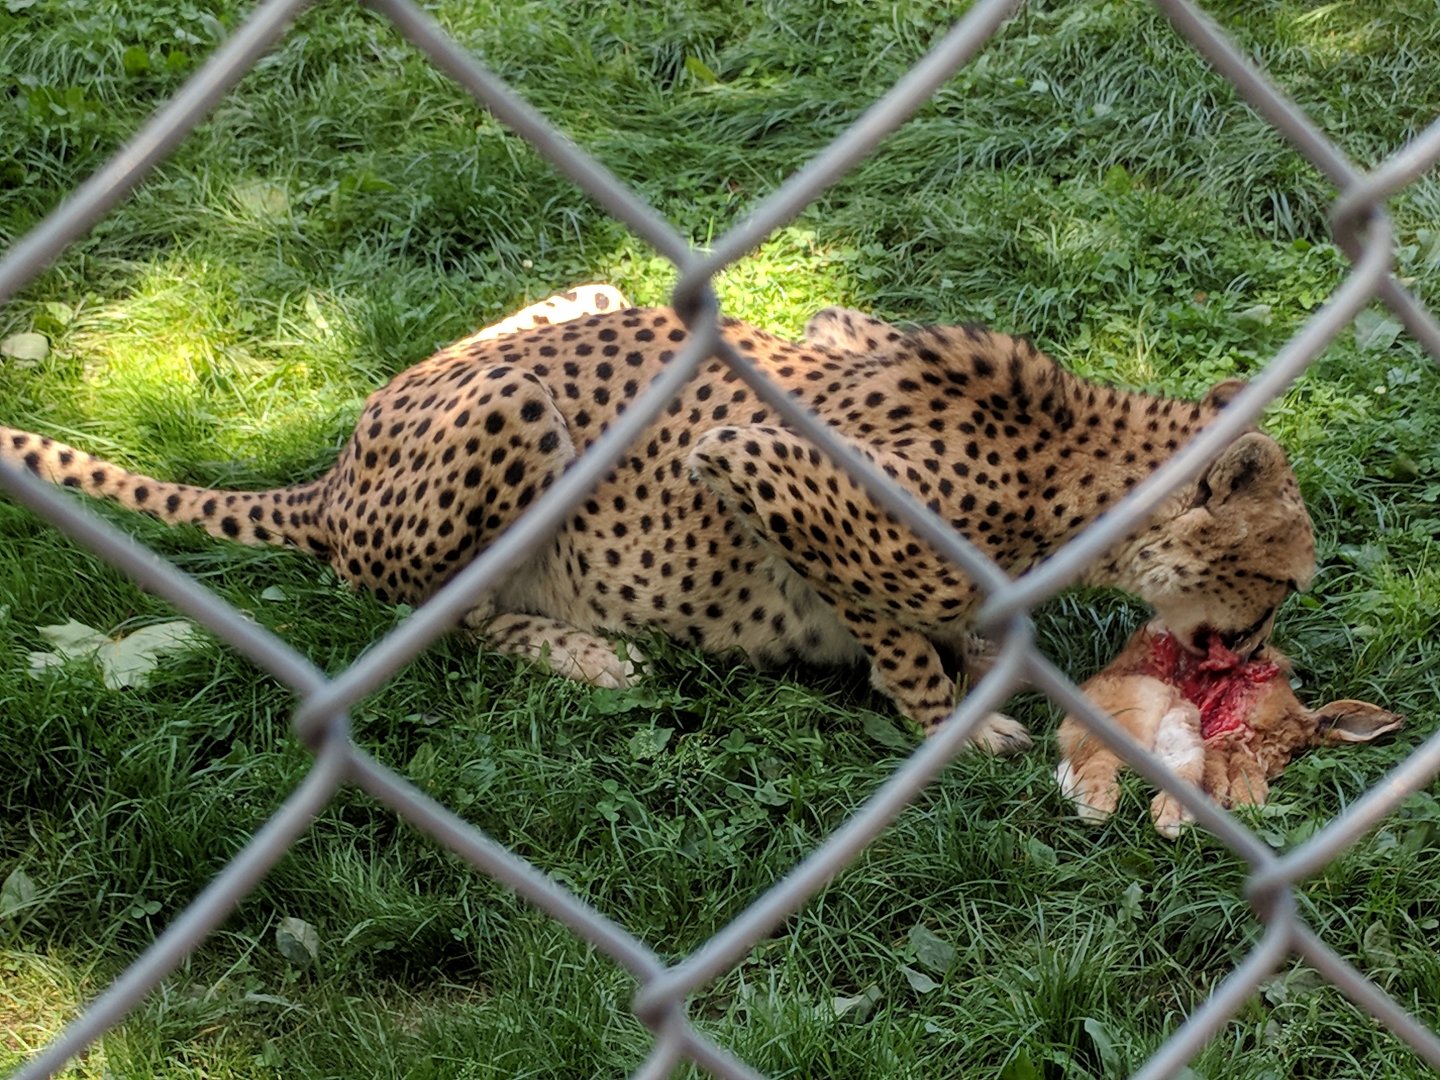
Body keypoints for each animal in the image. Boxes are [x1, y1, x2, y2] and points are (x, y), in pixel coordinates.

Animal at [0, 284, 1316, 755]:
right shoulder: (750, 460)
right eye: (1284, 584)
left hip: (584, 302)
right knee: (429, 611)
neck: (1071, 473)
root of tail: (334, 473)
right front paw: (948, 713)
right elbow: (888, 615)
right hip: (514, 417)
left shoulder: (838, 328)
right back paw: (588, 656)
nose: (1258, 649)